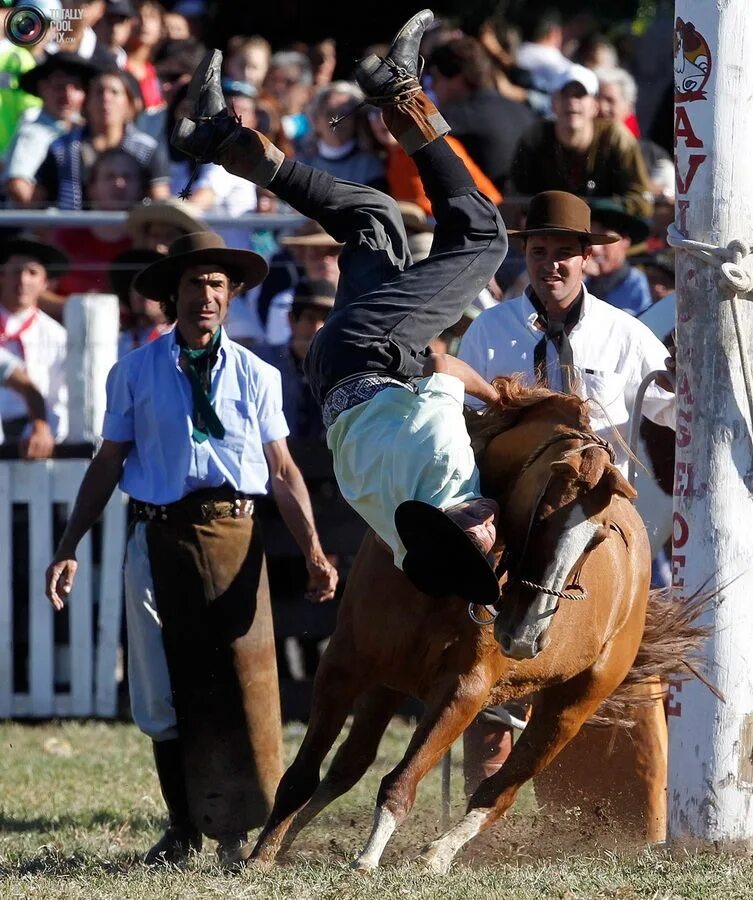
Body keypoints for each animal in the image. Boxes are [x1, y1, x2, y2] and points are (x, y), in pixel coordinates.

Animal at [251, 378, 692, 872]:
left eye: (597, 538)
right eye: (542, 516)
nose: (526, 636)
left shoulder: (464, 690)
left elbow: (401, 781)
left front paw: (366, 860)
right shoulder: (345, 662)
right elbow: (303, 774)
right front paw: (262, 854)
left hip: (572, 706)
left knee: (500, 790)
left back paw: (437, 855)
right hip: (389, 683)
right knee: (350, 764)